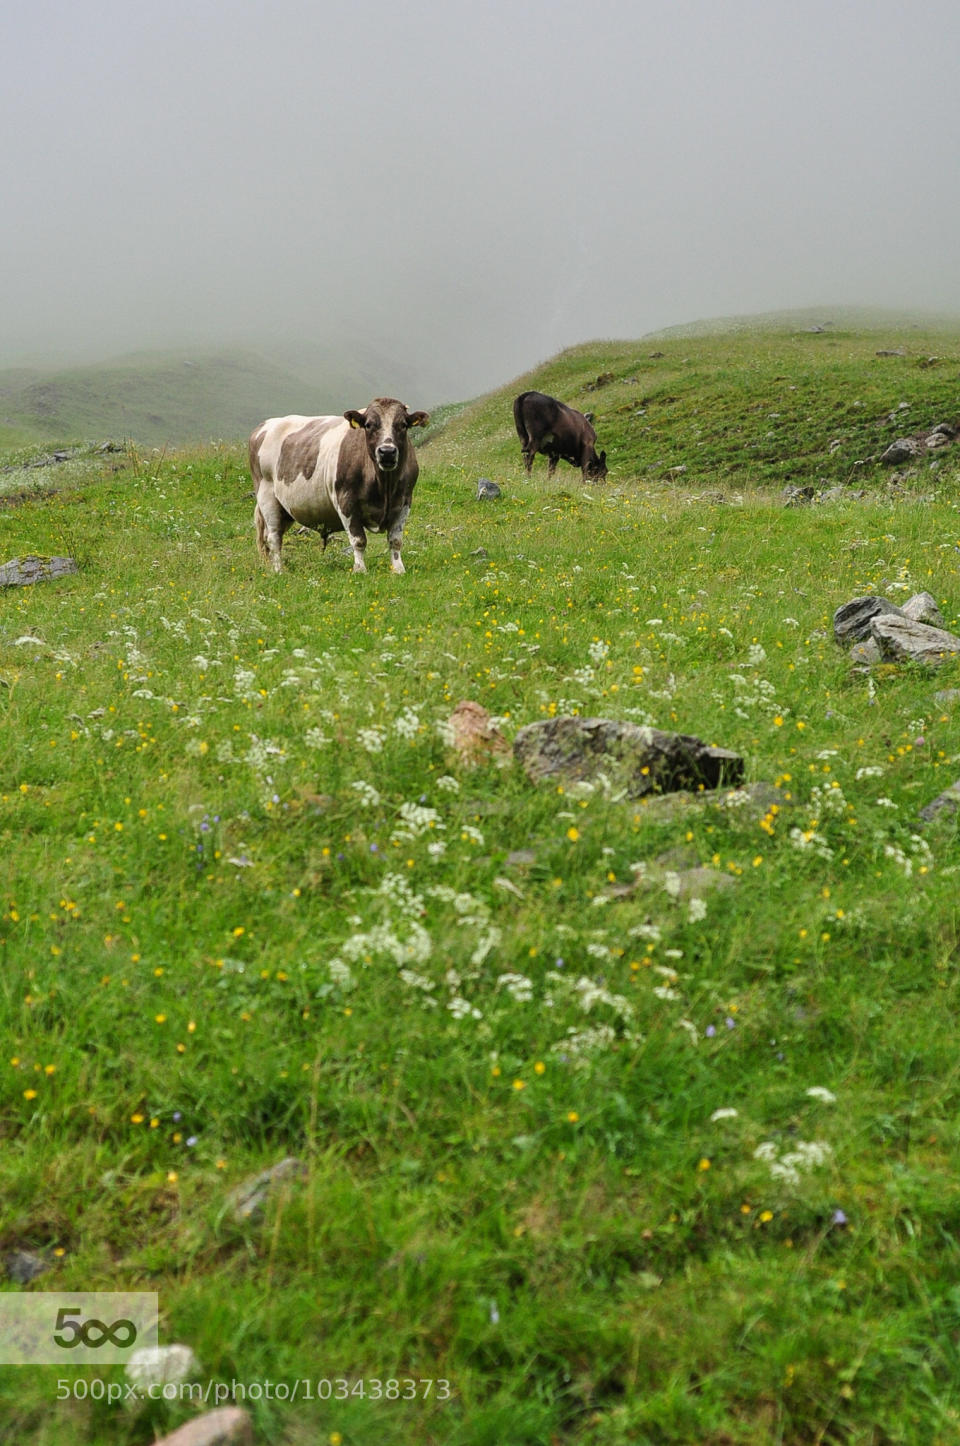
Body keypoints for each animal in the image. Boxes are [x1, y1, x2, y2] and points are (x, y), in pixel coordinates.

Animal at [248, 399, 427, 578]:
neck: (384, 486)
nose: (387, 452)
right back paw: (279, 570)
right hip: (266, 496)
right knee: (274, 537)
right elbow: (359, 540)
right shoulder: (346, 501)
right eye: (368, 425)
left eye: (403, 425)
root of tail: (263, 426)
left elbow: (395, 540)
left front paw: (398, 570)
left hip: (285, 509)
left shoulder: (404, 502)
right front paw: (360, 570)